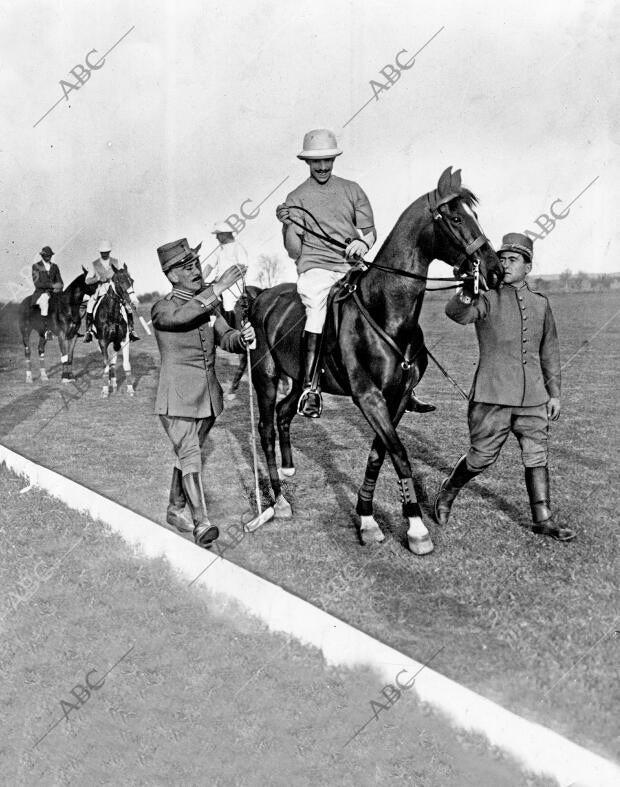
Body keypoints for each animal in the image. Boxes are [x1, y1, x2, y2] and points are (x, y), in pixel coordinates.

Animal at [91, 264, 139, 400]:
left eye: (132, 280)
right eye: (119, 281)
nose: (134, 302)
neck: (112, 314)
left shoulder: (123, 340)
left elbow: (125, 364)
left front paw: (130, 389)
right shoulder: (103, 342)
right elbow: (105, 364)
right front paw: (104, 390)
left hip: (115, 344)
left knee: (112, 362)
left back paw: (113, 383)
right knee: (108, 362)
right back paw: (109, 383)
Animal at [247, 168, 504, 556]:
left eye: (473, 215)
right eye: (457, 218)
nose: (495, 270)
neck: (387, 311)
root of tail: (263, 295)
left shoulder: (397, 397)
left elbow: (378, 454)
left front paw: (367, 518)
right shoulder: (368, 396)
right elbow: (399, 452)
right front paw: (416, 527)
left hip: (298, 378)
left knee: (283, 413)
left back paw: (290, 469)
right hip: (265, 375)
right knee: (265, 429)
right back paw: (279, 501)